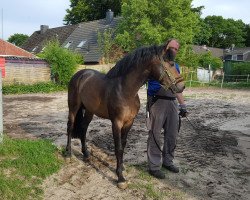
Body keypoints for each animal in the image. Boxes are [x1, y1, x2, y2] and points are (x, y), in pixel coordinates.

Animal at [65, 42, 185, 189]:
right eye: (171, 64)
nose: (182, 86)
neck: (125, 90)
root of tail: (80, 74)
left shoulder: (129, 122)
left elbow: (123, 144)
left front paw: (121, 168)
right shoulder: (116, 123)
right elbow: (118, 148)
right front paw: (120, 178)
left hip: (89, 111)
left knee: (83, 128)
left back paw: (86, 154)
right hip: (73, 108)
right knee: (70, 127)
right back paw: (68, 154)